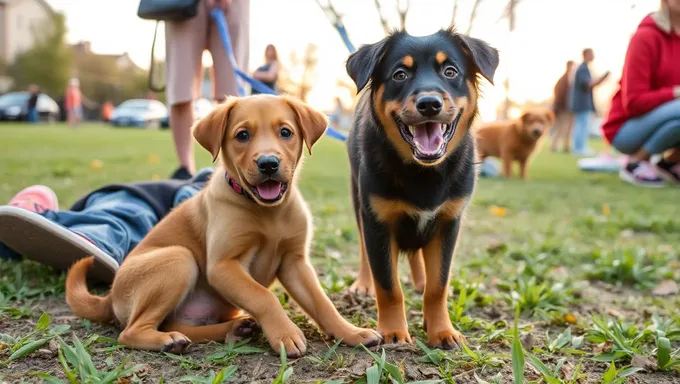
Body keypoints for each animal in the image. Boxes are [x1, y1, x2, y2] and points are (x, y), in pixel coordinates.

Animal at [65, 95, 380, 356]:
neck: (268, 213)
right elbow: (264, 296)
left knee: (176, 325)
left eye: (286, 132)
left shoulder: (295, 262)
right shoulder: (223, 266)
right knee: (130, 331)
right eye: (242, 135)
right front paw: (286, 334)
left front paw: (351, 333)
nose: (268, 163)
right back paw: (168, 341)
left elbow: (322, 303)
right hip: (178, 258)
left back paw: (232, 329)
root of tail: (109, 297)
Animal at [348, 28, 496, 350]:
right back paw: (364, 284)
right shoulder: (377, 221)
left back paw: (419, 281)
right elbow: (388, 285)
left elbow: (438, 285)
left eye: (450, 71)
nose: (429, 104)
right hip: (358, 201)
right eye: (400, 74)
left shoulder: (448, 222)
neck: (424, 172)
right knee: (365, 250)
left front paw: (441, 330)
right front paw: (393, 331)